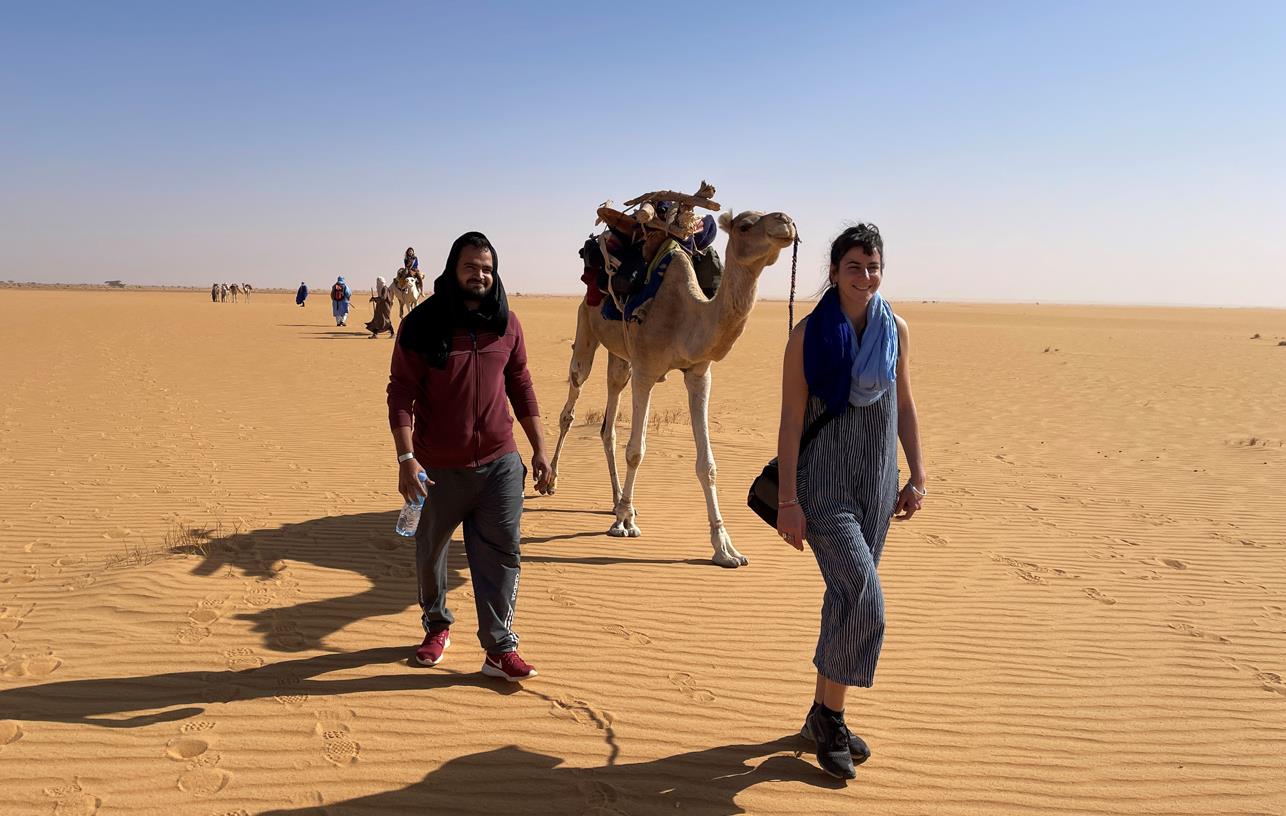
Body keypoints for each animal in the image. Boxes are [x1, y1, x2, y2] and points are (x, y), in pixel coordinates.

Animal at [550, 201, 797, 567]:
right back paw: (549, 480)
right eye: (744, 226)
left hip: (620, 357)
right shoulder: (646, 371)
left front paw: (725, 548)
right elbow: (636, 450)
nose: (786, 221)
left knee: (609, 421)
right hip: (587, 325)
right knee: (573, 396)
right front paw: (625, 523)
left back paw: (616, 499)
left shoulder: (698, 374)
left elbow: (707, 464)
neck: (685, 315)